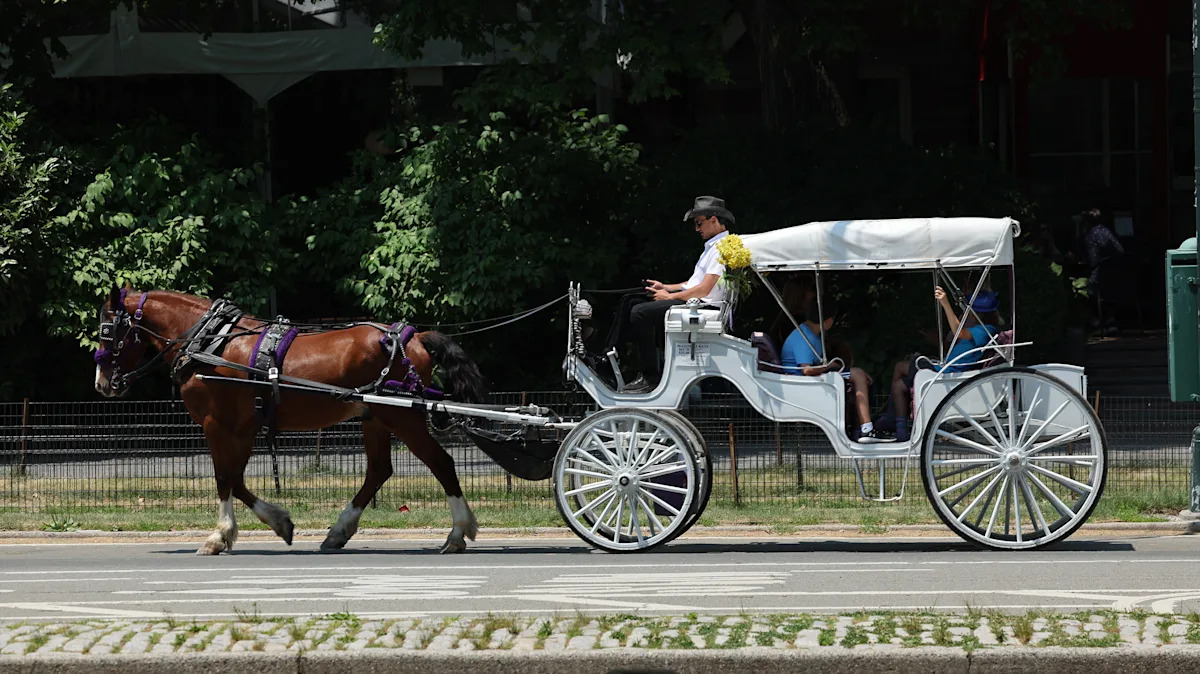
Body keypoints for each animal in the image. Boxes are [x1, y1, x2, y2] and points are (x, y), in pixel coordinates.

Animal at [92, 286, 488, 556]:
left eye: (107, 332)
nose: (102, 383)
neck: (210, 342)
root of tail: (413, 337)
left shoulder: (219, 424)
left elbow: (224, 478)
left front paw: (219, 535)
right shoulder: (244, 427)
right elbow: (236, 480)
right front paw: (278, 522)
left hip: (401, 417)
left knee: (441, 463)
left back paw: (457, 533)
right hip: (375, 417)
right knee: (379, 471)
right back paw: (339, 531)